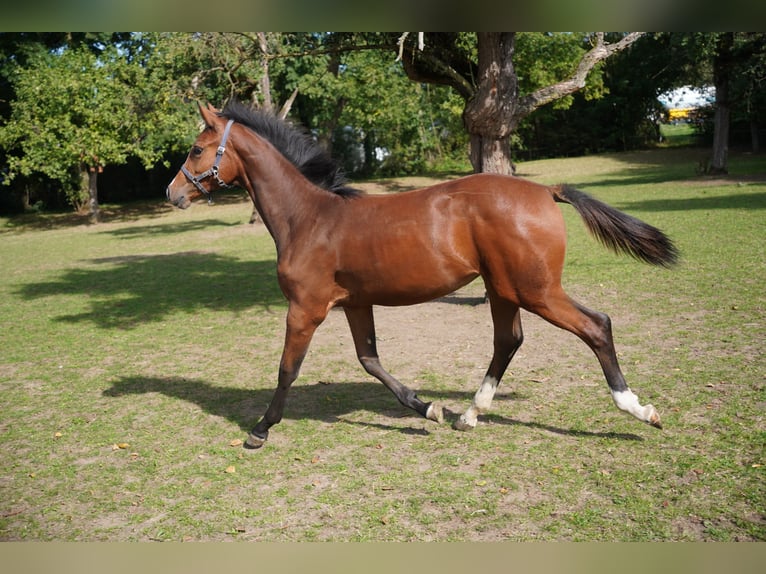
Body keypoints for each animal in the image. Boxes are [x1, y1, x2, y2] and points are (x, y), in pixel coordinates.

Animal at [166, 101, 680, 450]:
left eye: (196, 149)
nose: (172, 193)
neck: (309, 218)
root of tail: (545, 191)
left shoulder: (306, 308)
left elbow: (287, 369)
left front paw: (259, 430)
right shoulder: (355, 303)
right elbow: (370, 360)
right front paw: (428, 408)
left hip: (536, 289)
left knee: (596, 326)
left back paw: (639, 409)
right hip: (504, 289)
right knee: (508, 340)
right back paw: (469, 414)